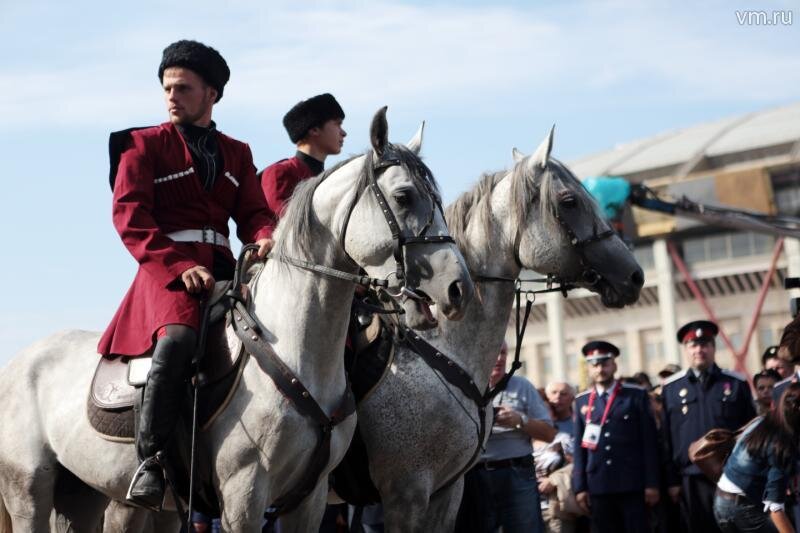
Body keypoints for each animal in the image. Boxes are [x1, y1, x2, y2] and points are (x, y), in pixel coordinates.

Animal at [0, 106, 476, 528]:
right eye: (403, 196)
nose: (459, 288)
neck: (299, 349)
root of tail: (19, 361)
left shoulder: (312, 498)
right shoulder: (246, 495)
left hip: (86, 495)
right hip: (29, 492)